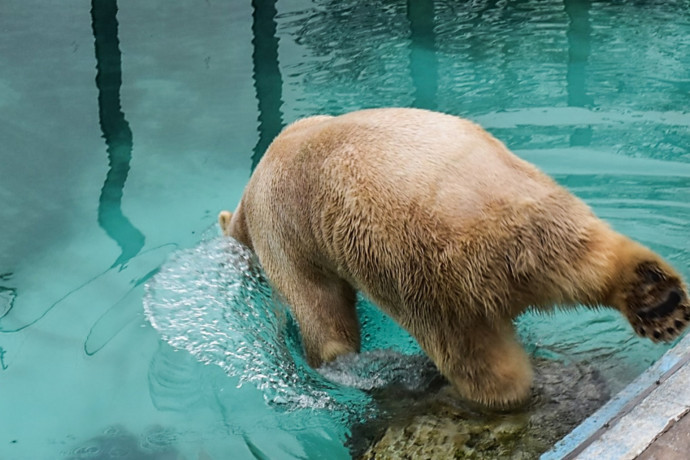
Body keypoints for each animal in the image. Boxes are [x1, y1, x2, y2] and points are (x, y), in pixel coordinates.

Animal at [218, 109, 684, 408]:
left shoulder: (281, 235)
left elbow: (322, 318)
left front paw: (330, 363)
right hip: (542, 203)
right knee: (586, 256)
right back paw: (657, 299)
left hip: (421, 272)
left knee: (472, 356)